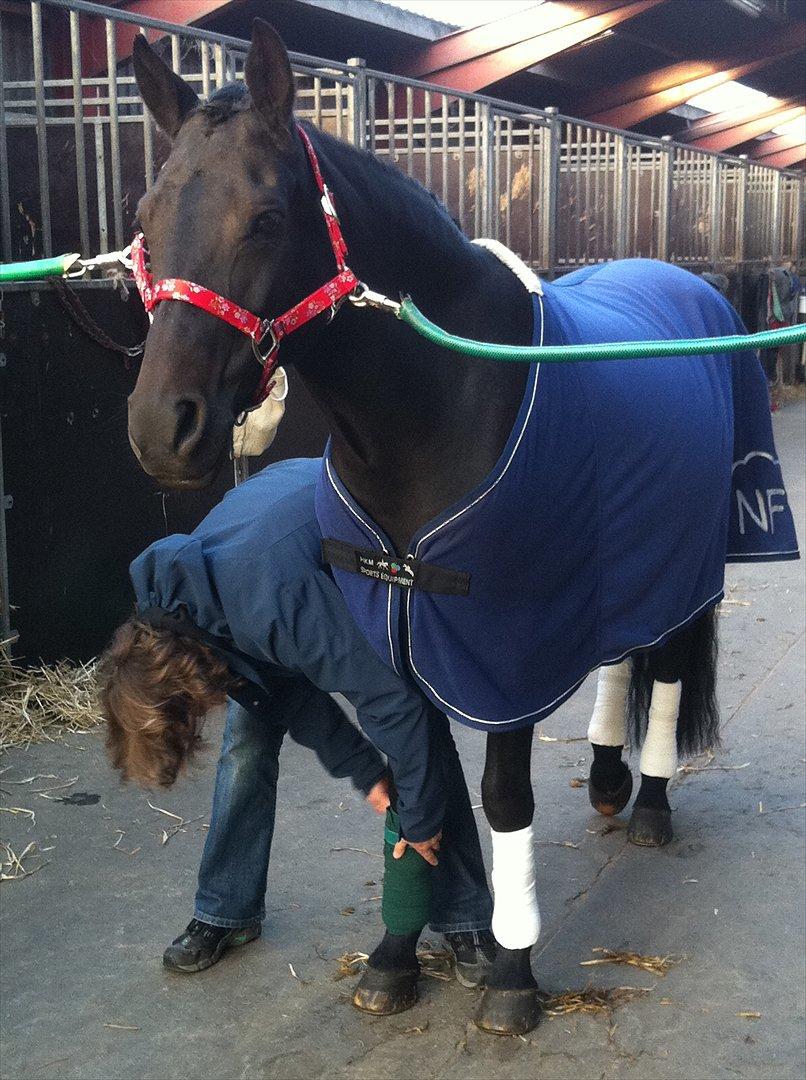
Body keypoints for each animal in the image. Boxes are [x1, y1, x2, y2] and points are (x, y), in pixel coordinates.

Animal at [126, 22, 798, 1035]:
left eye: (267, 218)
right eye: (145, 214)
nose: (163, 428)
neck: (439, 405)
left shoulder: (499, 651)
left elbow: (500, 796)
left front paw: (512, 977)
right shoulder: (401, 645)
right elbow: (416, 790)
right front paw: (394, 959)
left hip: (687, 568)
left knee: (671, 666)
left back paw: (647, 802)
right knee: (618, 654)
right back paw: (607, 777)